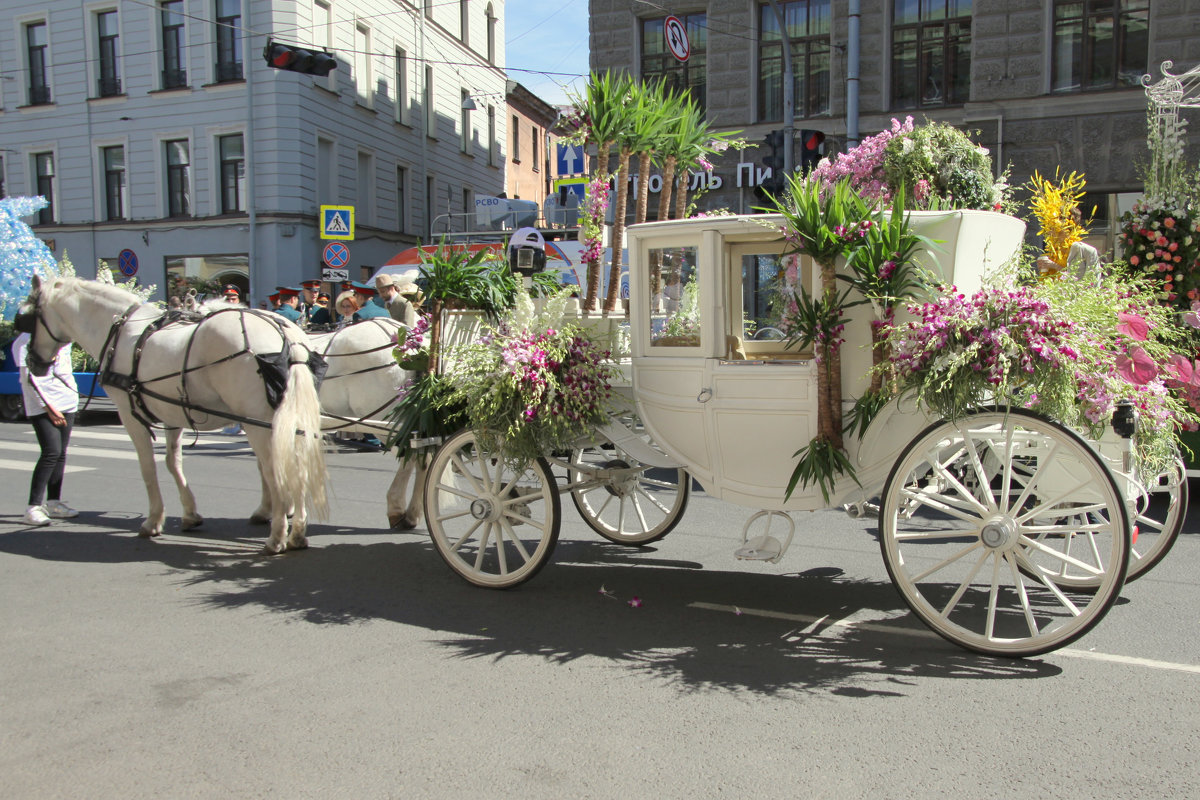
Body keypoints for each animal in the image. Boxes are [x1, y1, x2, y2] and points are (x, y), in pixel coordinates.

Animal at [18, 278, 328, 554]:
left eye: (26, 317)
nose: (32, 362)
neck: (123, 332)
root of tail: (288, 335)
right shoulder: (172, 415)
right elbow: (172, 461)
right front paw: (190, 513)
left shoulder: (129, 415)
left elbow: (147, 467)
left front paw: (153, 520)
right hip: (290, 422)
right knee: (298, 466)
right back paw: (296, 532)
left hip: (259, 424)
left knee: (276, 470)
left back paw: (277, 537)